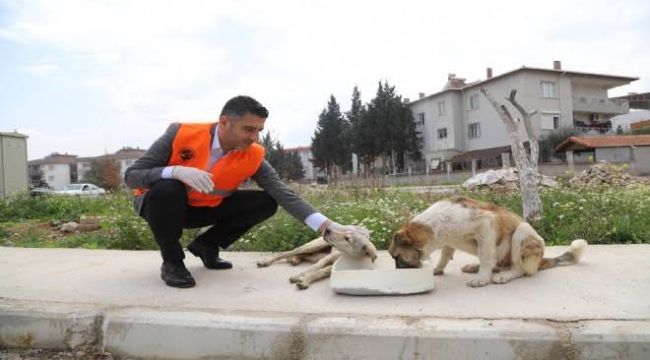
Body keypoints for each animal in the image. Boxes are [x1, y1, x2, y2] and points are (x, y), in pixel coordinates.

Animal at [388, 195, 584, 288]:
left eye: (396, 257)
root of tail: (541, 260)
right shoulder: (451, 241)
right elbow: (445, 254)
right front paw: (438, 269)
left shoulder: (485, 226)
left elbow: (486, 257)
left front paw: (482, 279)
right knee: (497, 263)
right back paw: (476, 267)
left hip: (522, 232)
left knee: (520, 269)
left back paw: (504, 275)